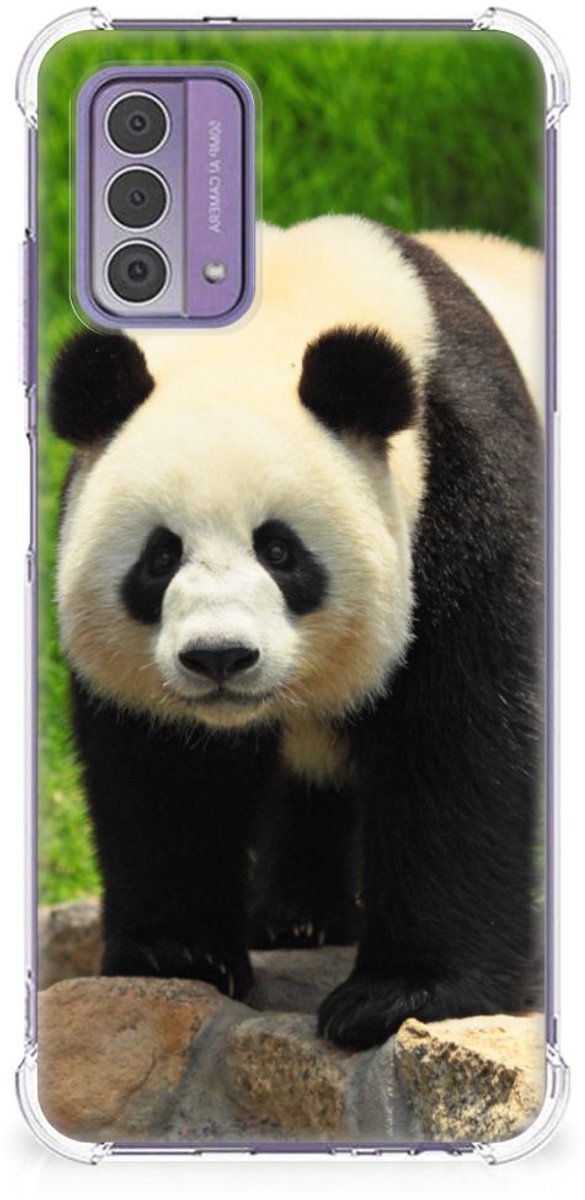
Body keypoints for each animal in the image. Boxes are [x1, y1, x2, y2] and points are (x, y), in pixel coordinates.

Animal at [48, 216, 544, 1050]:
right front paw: (178, 954)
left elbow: (460, 740)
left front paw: (399, 995)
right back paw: (296, 917)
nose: (219, 657)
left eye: (279, 551)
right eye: (159, 556)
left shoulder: (465, 490)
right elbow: (161, 770)